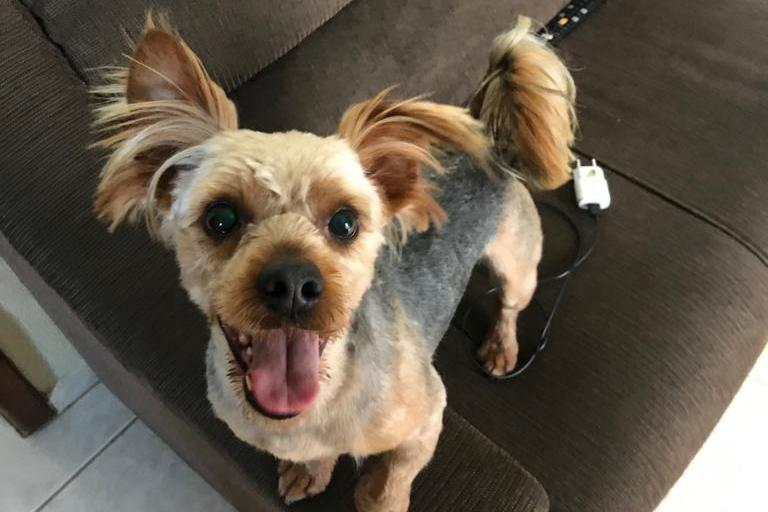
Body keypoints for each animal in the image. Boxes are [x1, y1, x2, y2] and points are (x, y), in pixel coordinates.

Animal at [93, 13, 575, 511]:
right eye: (220, 218)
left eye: (345, 223)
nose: (292, 283)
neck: (310, 409)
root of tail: (483, 130)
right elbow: (317, 456)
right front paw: (311, 470)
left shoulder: (427, 415)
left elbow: (392, 479)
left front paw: (377, 494)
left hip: (519, 261)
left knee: (511, 304)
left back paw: (501, 347)